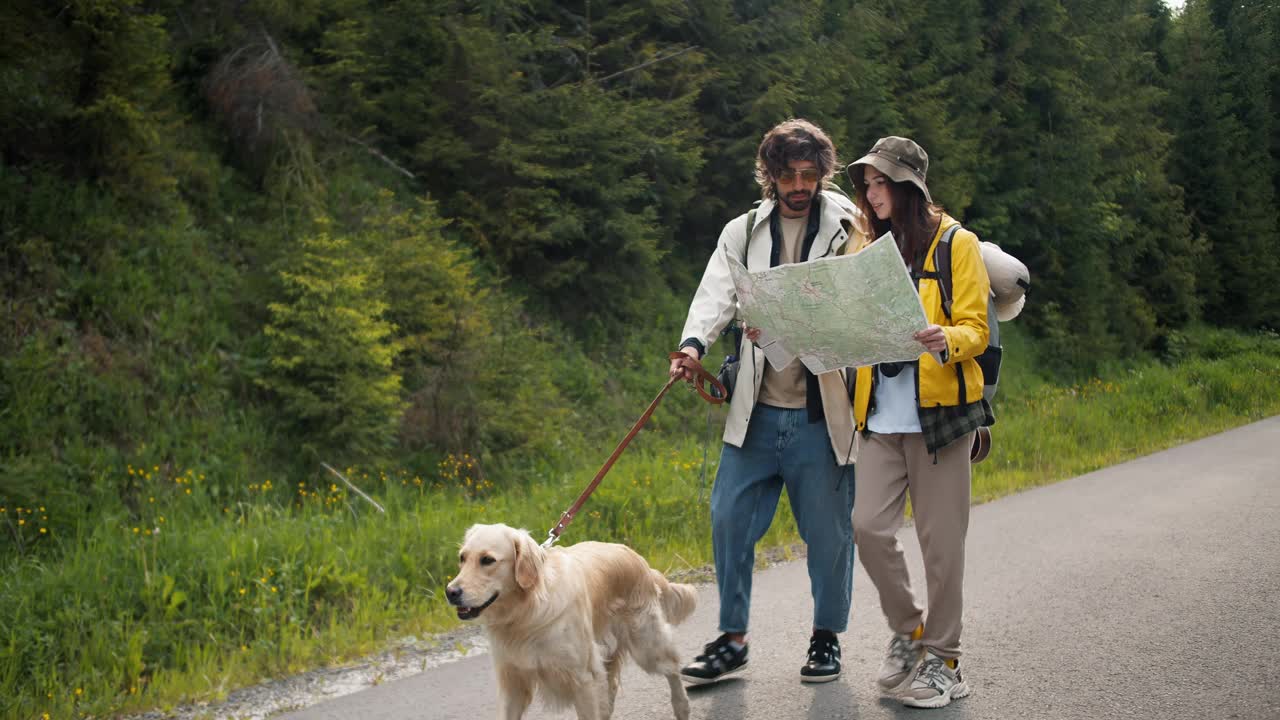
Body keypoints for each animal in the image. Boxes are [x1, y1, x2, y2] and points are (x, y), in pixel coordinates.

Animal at [445, 520, 696, 717]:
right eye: (462, 558)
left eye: (487, 560)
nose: (450, 592)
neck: (526, 614)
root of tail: (637, 558)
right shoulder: (513, 681)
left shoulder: (583, 679)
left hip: (647, 644)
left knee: (672, 667)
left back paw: (681, 706)